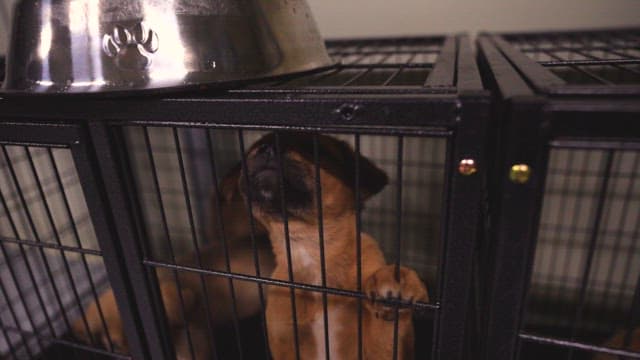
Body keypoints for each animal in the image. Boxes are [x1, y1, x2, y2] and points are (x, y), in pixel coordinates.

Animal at [240, 133, 430, 360]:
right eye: (256, 148)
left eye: (316, 150)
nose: (267, 148)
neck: (311, 251)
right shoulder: (283, 342)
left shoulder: (375, 350)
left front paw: (394, 278)